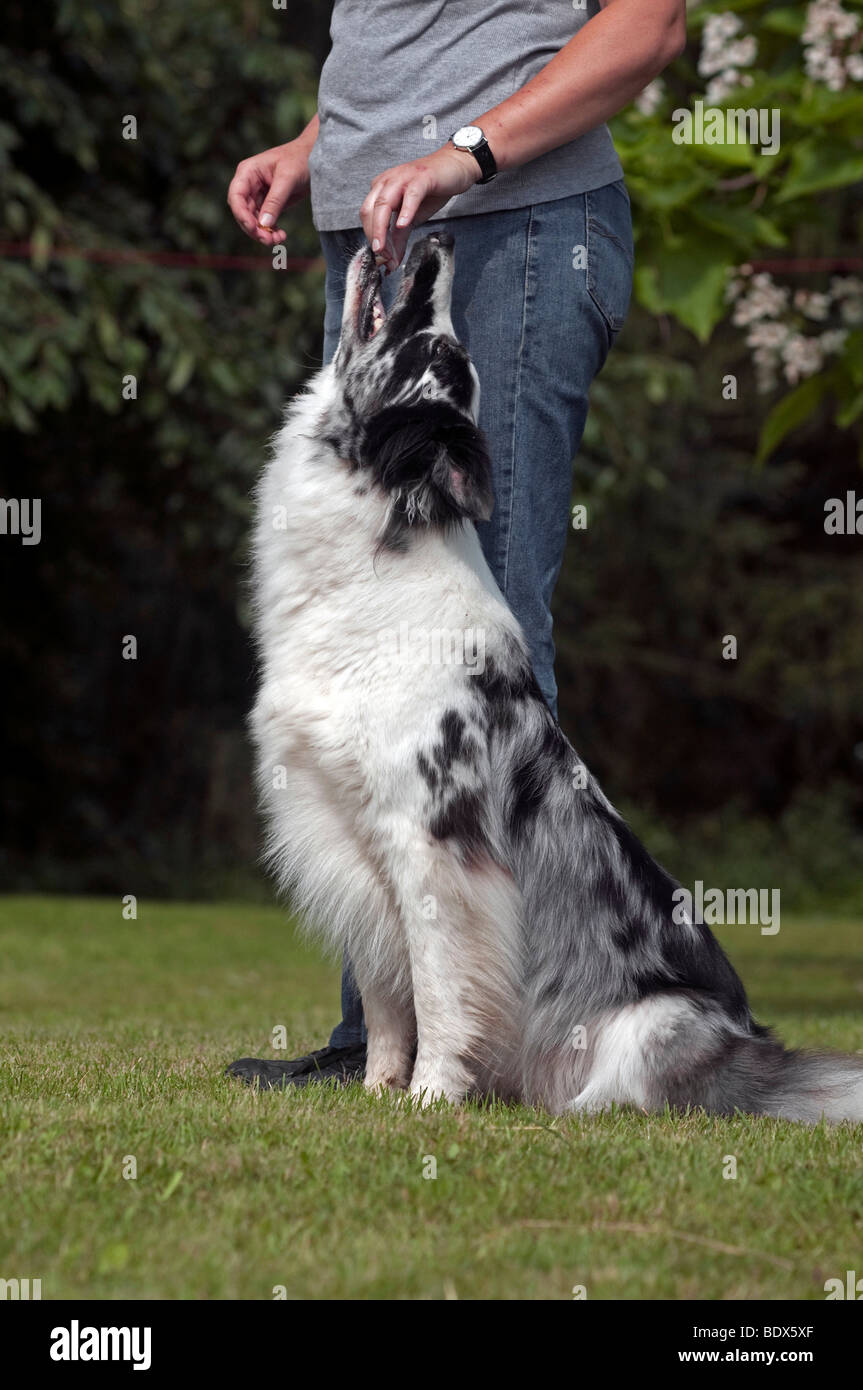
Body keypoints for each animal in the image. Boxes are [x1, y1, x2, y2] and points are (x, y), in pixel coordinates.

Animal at [245, 230, 856, 1117]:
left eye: (435, 350)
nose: (437, 239)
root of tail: (747, 1049)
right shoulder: (349, 837)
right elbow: (389, 997)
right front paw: (377, 1090)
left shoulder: (431, 844)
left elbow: (440, 989)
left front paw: (430, 1096)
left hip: (650, 1023)